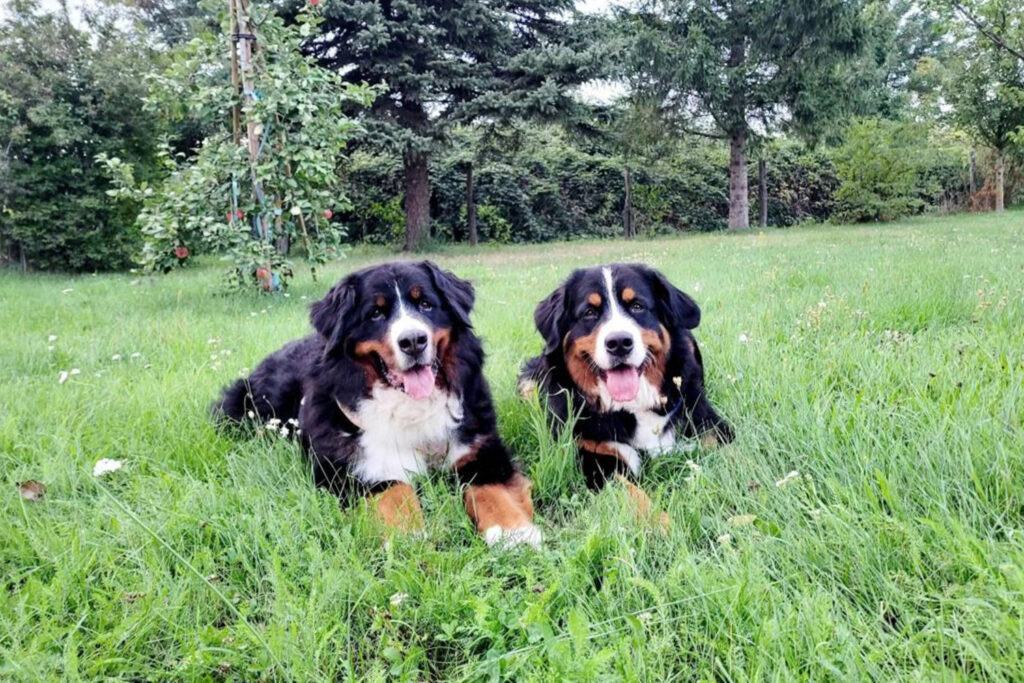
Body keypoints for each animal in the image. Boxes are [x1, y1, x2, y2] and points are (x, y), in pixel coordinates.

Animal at [212, 262, 540, 548]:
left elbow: (490, 489)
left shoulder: (482, 450)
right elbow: (394, 488)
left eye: (426, 304)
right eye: (375, 314)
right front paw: (408, 536)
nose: (413, 340)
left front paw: (513, 532)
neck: (410, 409)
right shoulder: (349, 469)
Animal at [524, 264, 733, 516]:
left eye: (637, 306)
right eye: (589, 313)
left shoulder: (710, 425)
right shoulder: (595, 456)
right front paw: (662, 523)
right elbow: (635, 497)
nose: (619, 343)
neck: (633, 405)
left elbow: (737, 456)